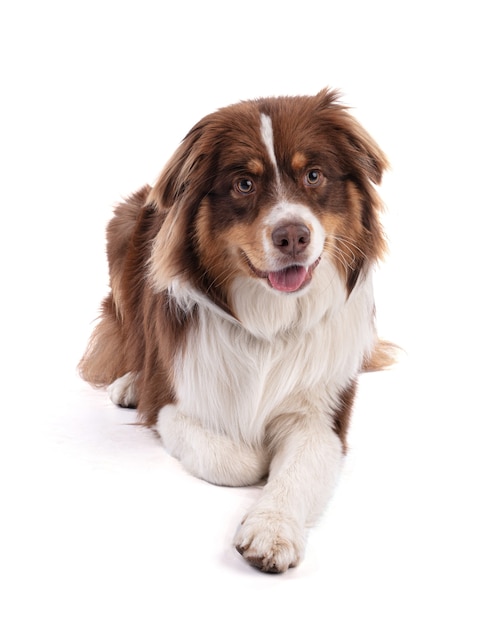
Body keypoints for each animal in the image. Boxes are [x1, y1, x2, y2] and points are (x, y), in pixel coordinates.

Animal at [80, 88, 396, 572]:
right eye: (244, 184)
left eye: (314, 175)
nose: (293, 236)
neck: (271, 321)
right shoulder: (170, 398)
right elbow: (235, 461)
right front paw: (259, 458)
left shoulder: (323, 415)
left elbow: (298, 471)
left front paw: (272, 529)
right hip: (123, 226)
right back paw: (129, 382)